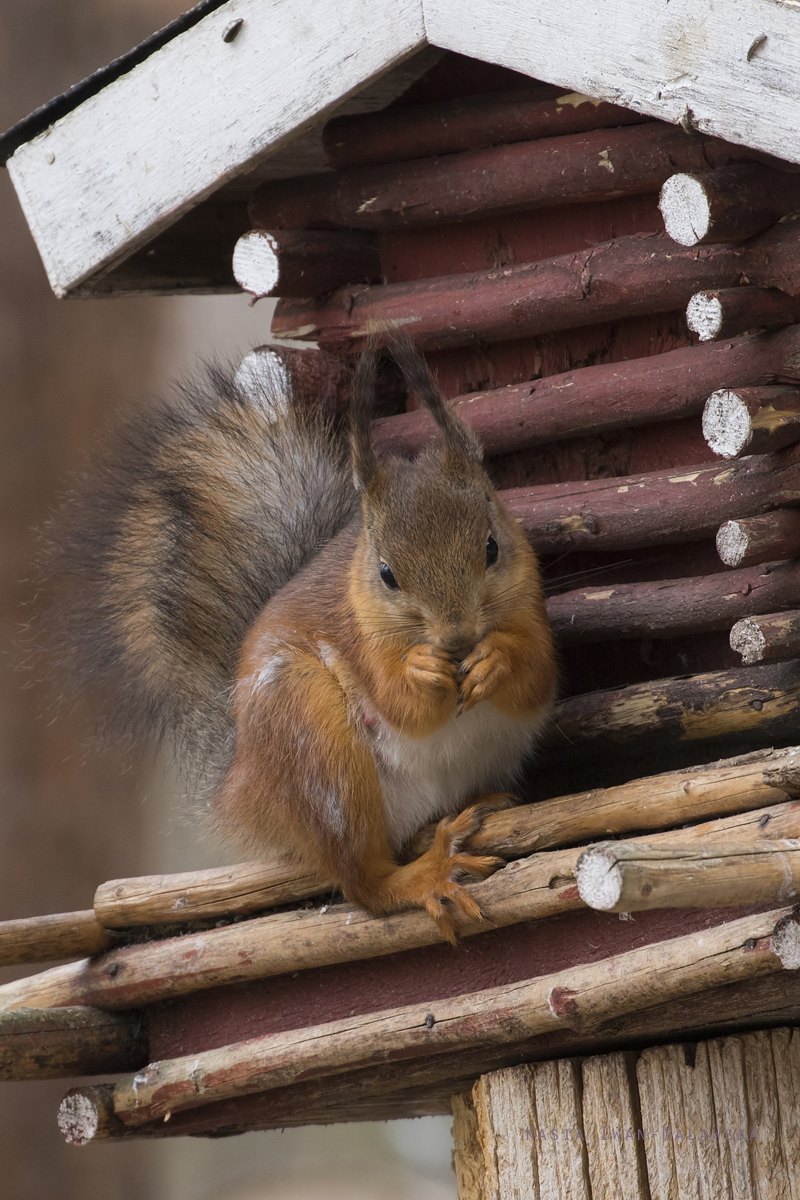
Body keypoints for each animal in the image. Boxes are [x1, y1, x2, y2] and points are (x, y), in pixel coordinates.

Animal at [50, 336, 556, 936]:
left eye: (493, 547)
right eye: (386, 573)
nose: (456, 639)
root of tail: (244, 784)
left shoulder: (533, 610)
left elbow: (535, 679)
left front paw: (496, 659)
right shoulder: (359, 637)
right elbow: (400, 703)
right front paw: (420, 670)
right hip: (314, 744)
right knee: (363, 884)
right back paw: (423, 875)